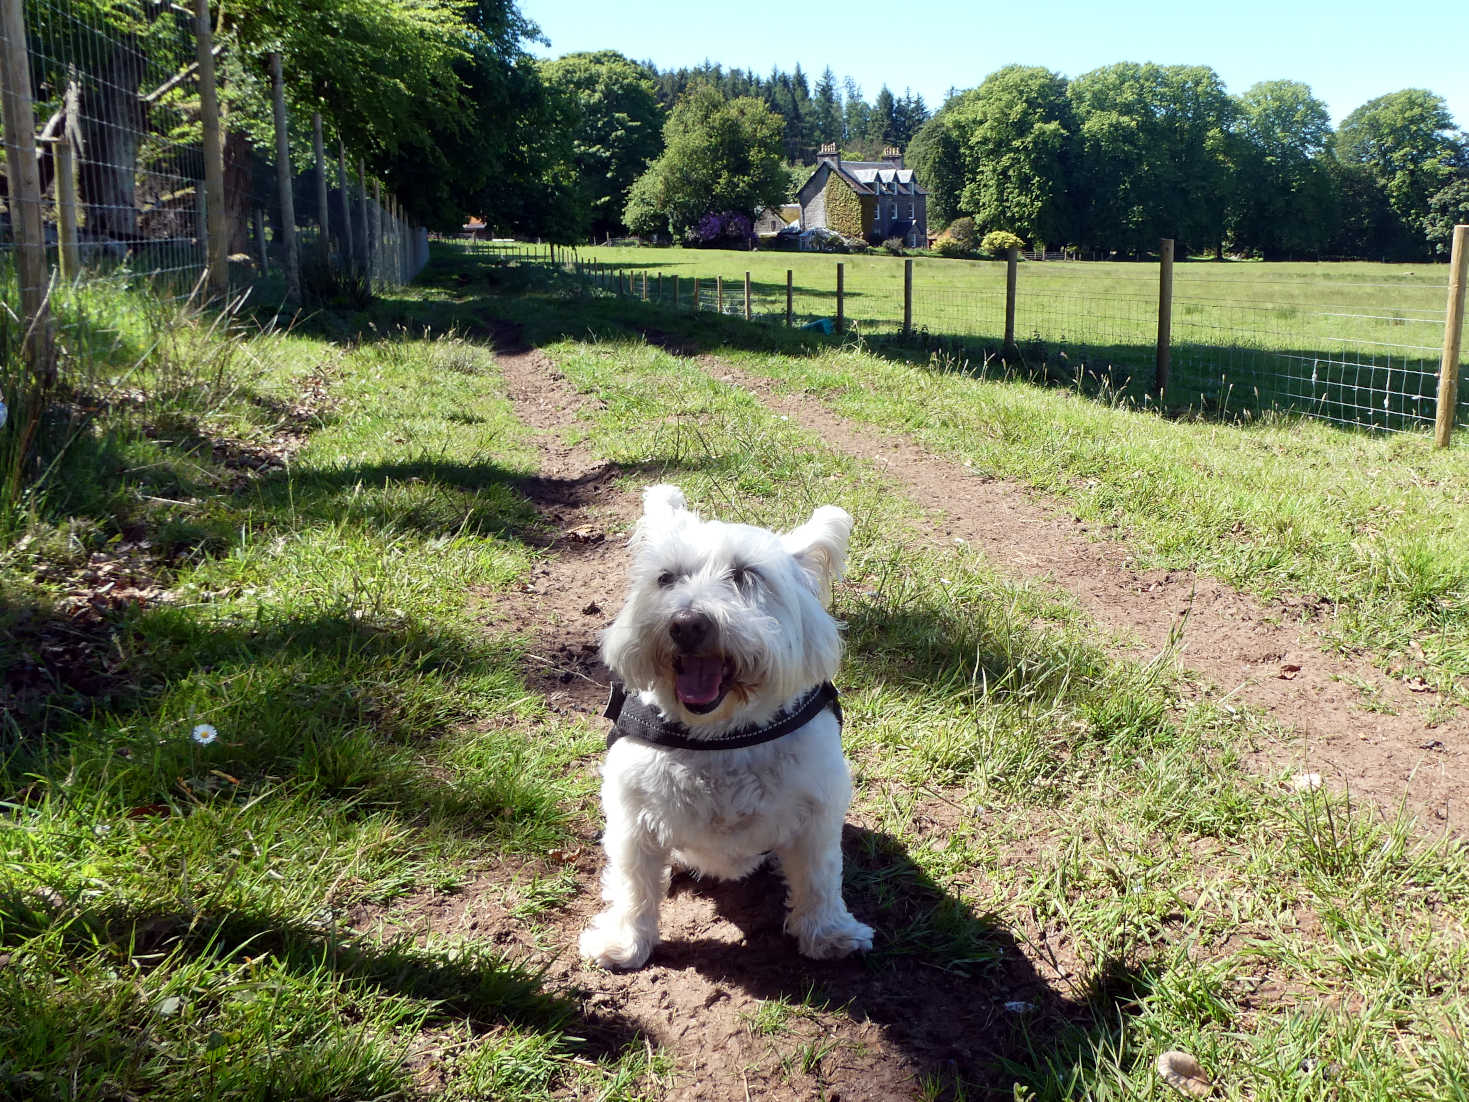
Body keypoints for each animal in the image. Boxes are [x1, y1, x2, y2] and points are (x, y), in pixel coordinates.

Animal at [575, 487, 869, 969]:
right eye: (666, 578)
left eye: (747, 575)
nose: (686, 624)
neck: (720, 736)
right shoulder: (633, 817)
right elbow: (634, 885)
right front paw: (623, 943)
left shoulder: (818, 811)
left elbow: (821, 878)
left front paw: (829, 934)